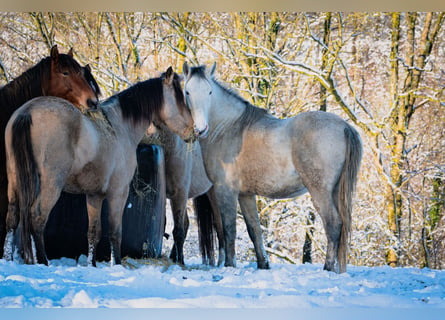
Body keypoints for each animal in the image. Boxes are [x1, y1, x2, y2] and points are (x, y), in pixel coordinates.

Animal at [3, 68, 199, 268]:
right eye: (180, 99)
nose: (195, 131)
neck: (119, 127)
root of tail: (27, 112)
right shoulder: (118, 193)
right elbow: (115, 232)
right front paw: (117, 263)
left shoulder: (94, 196)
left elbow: (93, 232)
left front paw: (92, 264)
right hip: (51, 186)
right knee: (37, 218)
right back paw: (43, 261)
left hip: (14, 182)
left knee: (12, 219)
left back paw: (9, 258)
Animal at [181, 62, 360, 272]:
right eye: (187, 92)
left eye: (209, 92)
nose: (201, 129)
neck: (228, 128)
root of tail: (344, 127)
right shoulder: (245, 195)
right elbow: (254, 229)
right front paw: (263, 264)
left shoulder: (225, 190)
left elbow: (229, 229)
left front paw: (230, 265)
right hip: (334, 191)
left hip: (320, 192)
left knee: (333, 224)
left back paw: (327, 268)